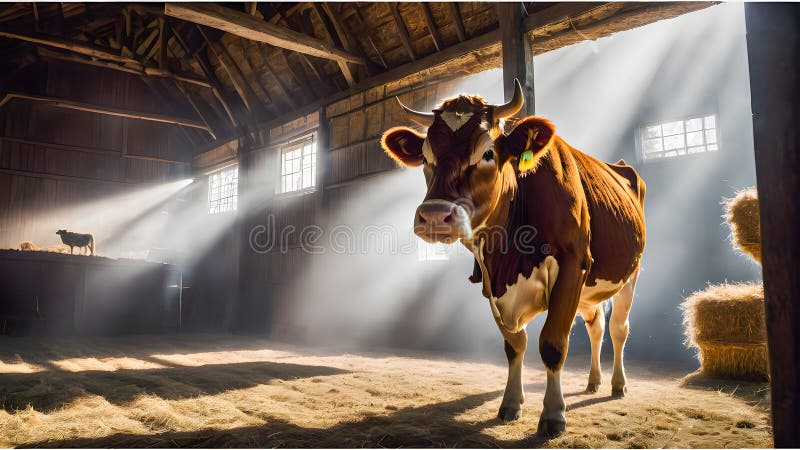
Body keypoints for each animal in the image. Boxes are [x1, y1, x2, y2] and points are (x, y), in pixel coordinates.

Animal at [380, 80, 646, 436]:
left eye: (488, 153)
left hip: (630, 274)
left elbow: (552, 343)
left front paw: (553, 415)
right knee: (596, 326)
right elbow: (514, 345)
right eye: (425, 157)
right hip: (590, 291)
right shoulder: (493, 281)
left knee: (618, 328)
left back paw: (617, 384)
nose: (435, 215)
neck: (509, 253)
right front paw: (510, 404)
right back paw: (593, 381)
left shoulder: (573, 265)